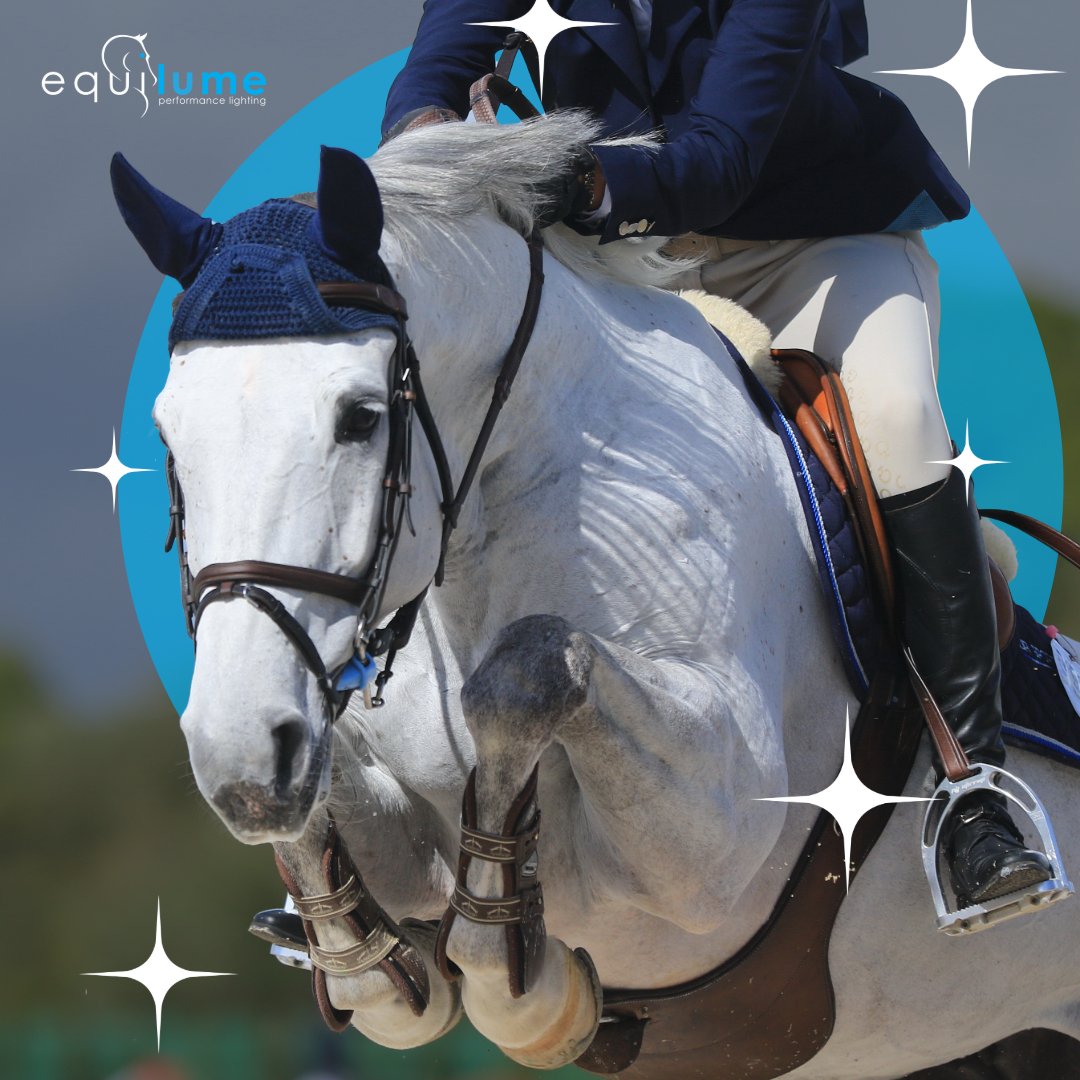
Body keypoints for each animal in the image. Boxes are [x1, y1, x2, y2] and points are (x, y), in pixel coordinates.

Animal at [112, 112, 1080, 1078]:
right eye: (167, 432)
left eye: (359, 418)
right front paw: (379, 958)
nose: (242, 764)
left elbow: (533, 667)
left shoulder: (715, 839)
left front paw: (523, 979)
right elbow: (342, 825)